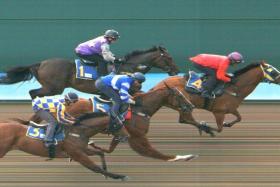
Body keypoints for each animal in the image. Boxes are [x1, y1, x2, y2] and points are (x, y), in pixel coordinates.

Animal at [0, 45, 179, 98]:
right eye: (169, 58)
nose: (176, 71)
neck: (129, 67)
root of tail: (41, 63)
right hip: (53, 88)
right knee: (33, 93)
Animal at [0, 112, 129, 180]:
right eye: (117, 124)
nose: (127, 136)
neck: (78, 131)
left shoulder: (82, 150)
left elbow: (100, 152)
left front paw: (106, 171)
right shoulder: (77, 155)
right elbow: (95, 168)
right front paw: (120, 176)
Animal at [152, 61, 280, 134]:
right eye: (273, 72)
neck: (234, 88)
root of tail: (159, 84)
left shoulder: (232, 109)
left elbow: (239, 118)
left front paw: (228, 124)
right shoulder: (219, 112)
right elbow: (219, 129)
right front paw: (208, 127)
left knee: (184, 119)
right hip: (183, 103)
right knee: (185, 119)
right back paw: (204, 127)